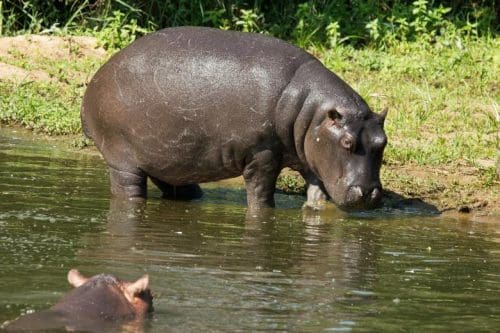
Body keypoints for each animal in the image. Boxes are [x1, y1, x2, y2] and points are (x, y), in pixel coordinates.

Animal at [81, 27, 386, 210]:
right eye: (347, 142)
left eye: (382, 142)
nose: (369, 193)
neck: (312, 111)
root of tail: (94, 81)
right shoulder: (262, 155)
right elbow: (261, 193)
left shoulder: (311, 154)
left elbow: (316, 192)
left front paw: (314, 209)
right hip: (122, 160)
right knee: (128, 191)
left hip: (165, 159)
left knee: (175, 186)